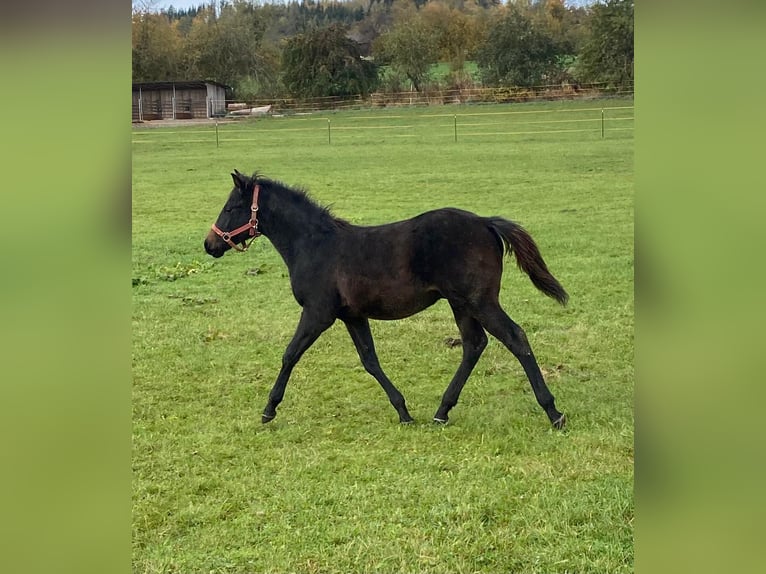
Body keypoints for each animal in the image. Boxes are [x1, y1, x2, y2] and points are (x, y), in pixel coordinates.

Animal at [206, 173, 568, 430]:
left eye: (230, 208)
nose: (209, 244)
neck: (315, 245)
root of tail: (485, 222)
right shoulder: (352, 315)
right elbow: (370, 360)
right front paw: (403, 411)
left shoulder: (318, 313)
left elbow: (290, 354)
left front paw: (269, 410)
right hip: (461, 303)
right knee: (474, 344)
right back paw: (441, 411)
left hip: (479, 301)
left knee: (515, 337)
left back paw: (553, 412)